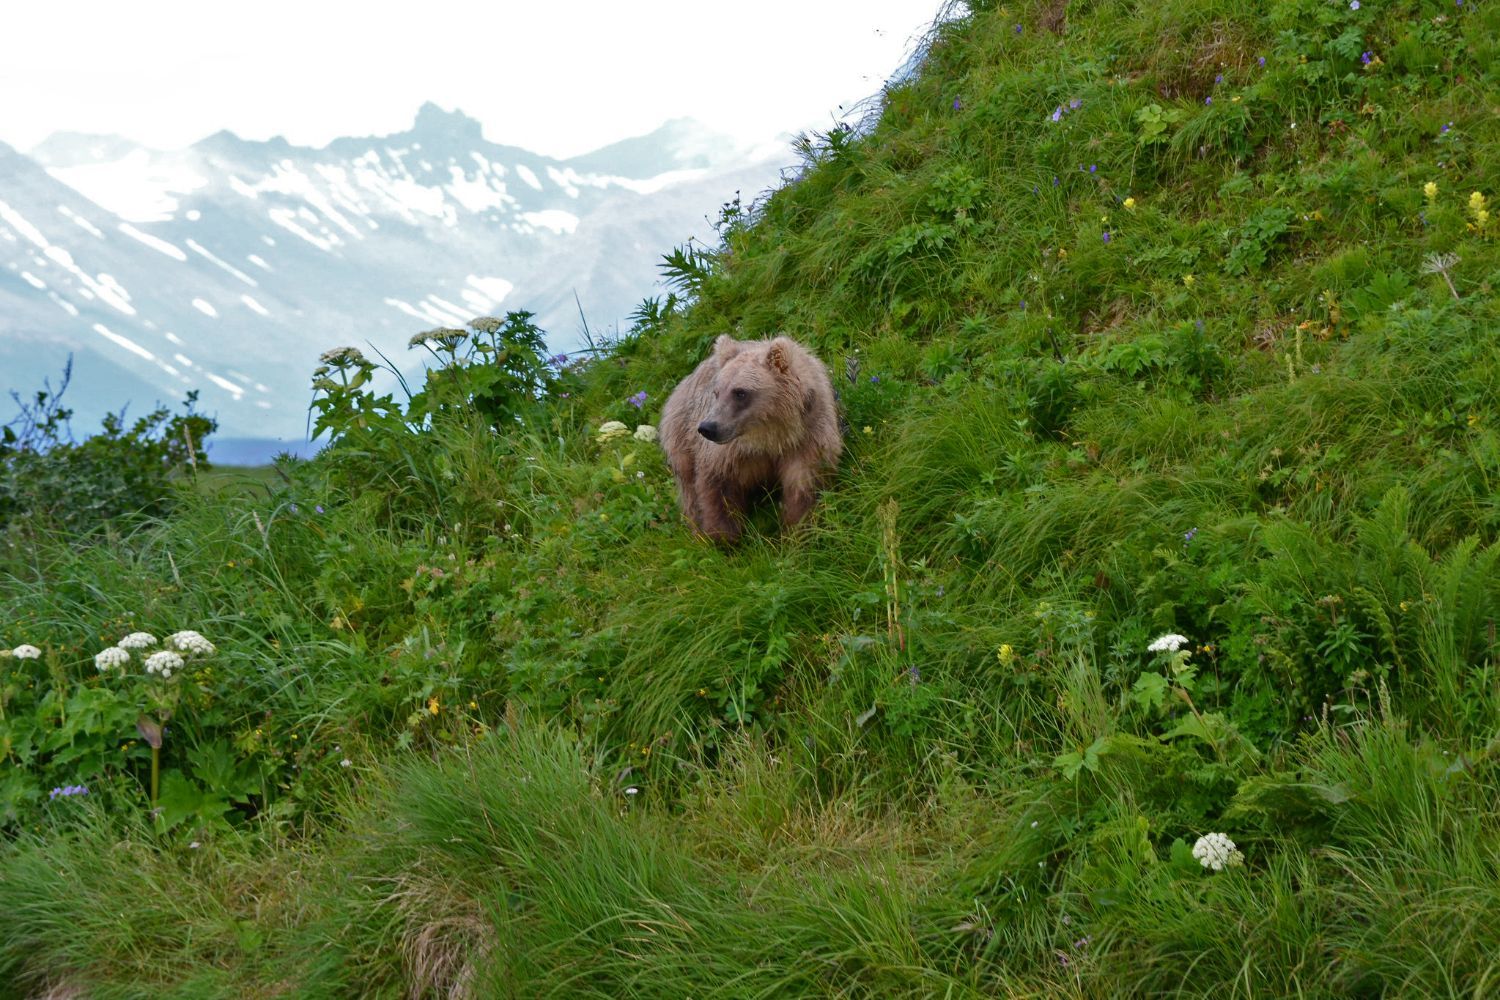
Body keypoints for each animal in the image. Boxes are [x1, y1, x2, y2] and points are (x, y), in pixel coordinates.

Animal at [660, 334, 842, 543]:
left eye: (740, 392)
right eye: (716, 392)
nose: (708, 427)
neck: (771, 436)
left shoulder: (807, 436)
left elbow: (804, 482)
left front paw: (799, 527)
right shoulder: (730, 453)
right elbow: (716, 487)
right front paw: (722, 536)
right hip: (681, 439)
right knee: (689, 487)